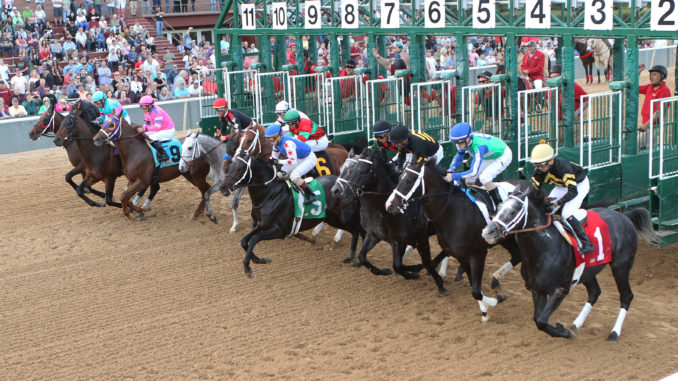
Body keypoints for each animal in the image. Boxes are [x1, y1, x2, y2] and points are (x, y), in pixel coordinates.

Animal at [220, 148, 366, 276]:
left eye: (240, 168)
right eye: (231, 165)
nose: (222, 187)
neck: (269, 194)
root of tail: (347, 185)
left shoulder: (280, 230)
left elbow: (254, 239)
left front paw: (248, 266)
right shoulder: (261, 224)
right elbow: (244, 241)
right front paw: (258, 259)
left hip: (344, 217)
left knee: (359, 230)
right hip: (333, 218)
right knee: (354, 232)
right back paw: (349, 255)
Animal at [330, 147, 452, 292]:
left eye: (356, 169)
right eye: (341, 168)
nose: (335, 190)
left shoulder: (404, 240)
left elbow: (399, 264)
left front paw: (414, 273)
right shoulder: (375, 235)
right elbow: (363, 256)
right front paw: (385, 271)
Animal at [386, 159, 524, 320]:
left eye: (409, 180)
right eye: (399, 178)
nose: (389, 204)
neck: (453, 213)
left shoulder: (477, 254)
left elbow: (475, 290)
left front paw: (495, 301)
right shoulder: (460, 256)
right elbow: (475, 289)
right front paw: (485, 311)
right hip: (506, 239)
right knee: (517, 255)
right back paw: (495, 279)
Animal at [480, 180, 656, 340]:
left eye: (513, 211)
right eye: (498, 208)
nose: (487, 231)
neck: (543, 249)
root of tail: (625, 216)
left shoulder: (560, 289)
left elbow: (542, 321)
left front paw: (564, 331)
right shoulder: (537, 289)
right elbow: (537, 319)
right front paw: (566, 330)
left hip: (621, 266)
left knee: (626, 295)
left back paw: (614, 333)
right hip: (588, 271)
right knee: (595, 292)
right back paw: (576, 324)